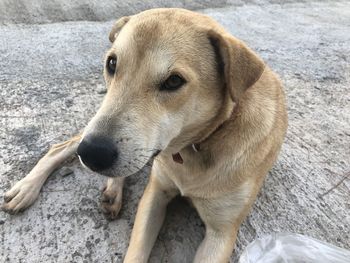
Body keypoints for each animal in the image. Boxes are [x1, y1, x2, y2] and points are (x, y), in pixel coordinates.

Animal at [2, 8, 288, 263]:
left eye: (174, 81)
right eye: (112, 63)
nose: (92, 154)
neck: (199, 145)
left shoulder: (222, 233)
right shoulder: (155, 193)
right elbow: (136, 250)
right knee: (62, 146)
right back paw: (26, 188)